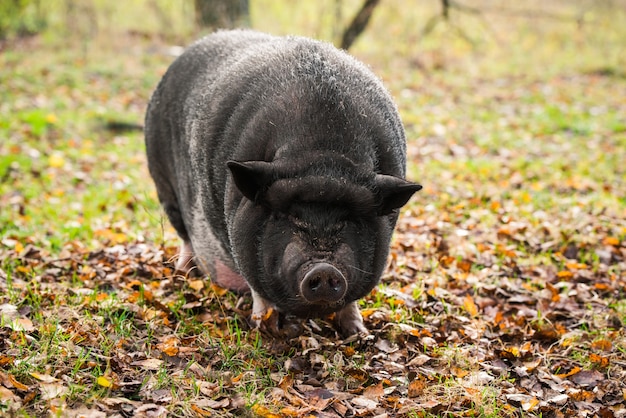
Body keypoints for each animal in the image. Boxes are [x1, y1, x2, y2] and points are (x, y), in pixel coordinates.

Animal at [146, 30, 420, 336]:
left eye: (350, 220)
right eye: (287, 216)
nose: (324, 269)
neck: (324, 161)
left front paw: (359, 333)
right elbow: (258, 288)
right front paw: (264, 329)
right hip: (163, 184)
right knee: (183, 234)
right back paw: (184, 272)